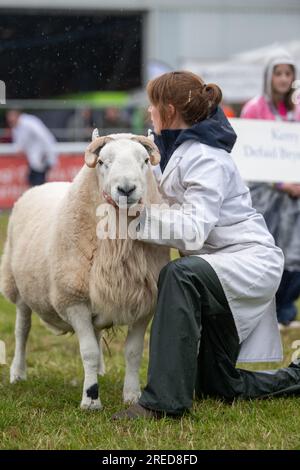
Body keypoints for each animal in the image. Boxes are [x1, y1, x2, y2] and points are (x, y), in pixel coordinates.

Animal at [0, 131, 170, 408]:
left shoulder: (144, 304)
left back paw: (101, 369)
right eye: (102, 162)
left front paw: (132, 396)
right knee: (22, 330)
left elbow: (133, 352)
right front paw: (90, 399)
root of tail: (46, 184)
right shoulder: (73, 300)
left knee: (96, 332)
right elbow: (87, 351)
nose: (126, 189)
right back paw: (18, 373)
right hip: (18, 287)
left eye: (145, 160)